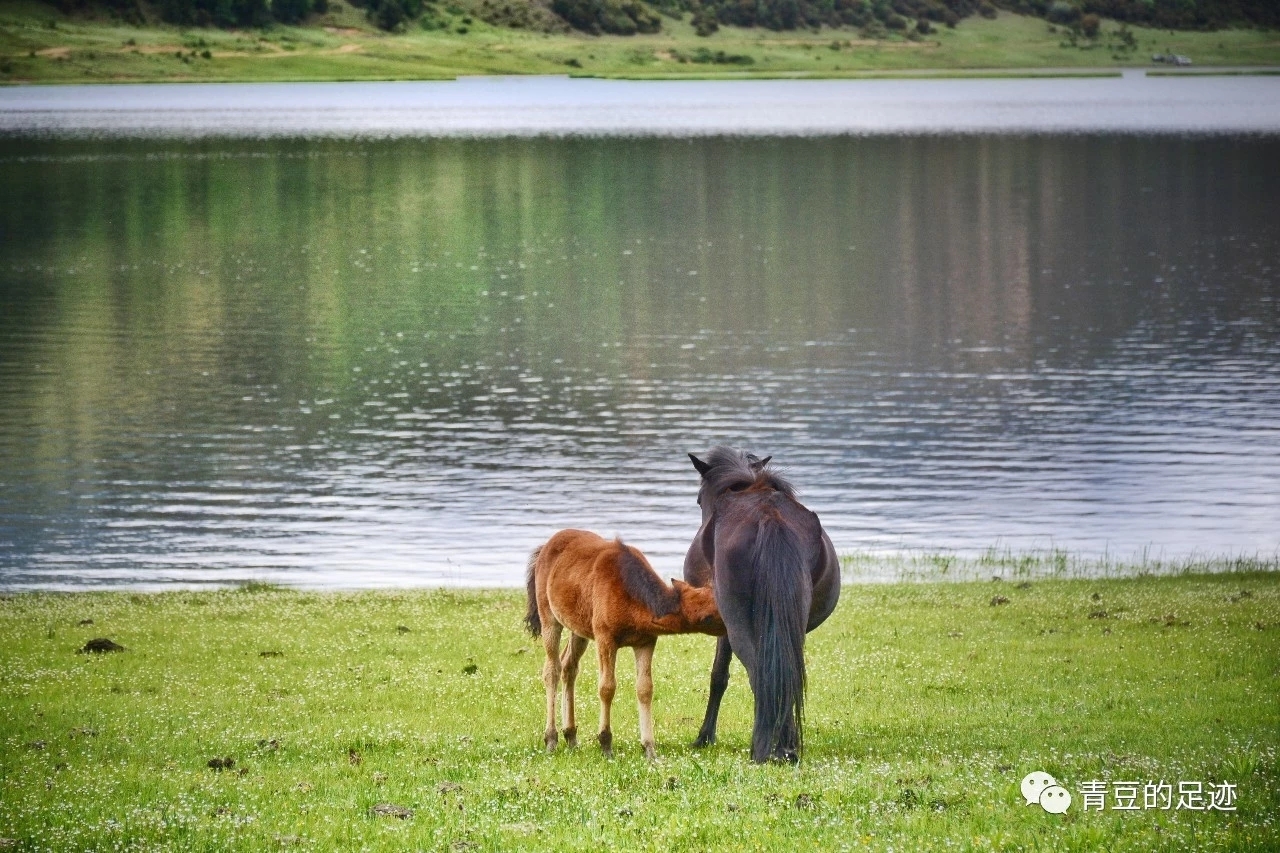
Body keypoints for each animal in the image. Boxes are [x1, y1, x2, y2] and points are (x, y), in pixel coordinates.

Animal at [691, 448, 839, 758]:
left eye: (699, 499)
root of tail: (769, 517)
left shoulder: (723, 625)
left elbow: (719, 675)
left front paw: (704, 737)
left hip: (738, 623)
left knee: (759, 673)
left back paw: (765, 747)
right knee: (787, 671)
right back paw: (787, 747)